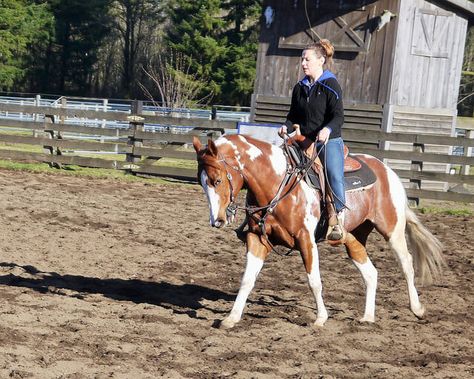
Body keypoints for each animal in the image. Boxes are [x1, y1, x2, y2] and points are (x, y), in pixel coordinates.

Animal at [192, 134, 444, 330]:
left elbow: (314, 281)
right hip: (353, 238)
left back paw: (417, 308)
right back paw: (367, 317)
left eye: (217, 180)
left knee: (406, 264)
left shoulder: (306, 240)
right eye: (202, 182)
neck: (276, 182)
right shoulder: (257, 240)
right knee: (371, 273)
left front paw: (321, 318)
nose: (217, 220)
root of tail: (386, 170)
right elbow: (247, 280)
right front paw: (231, 318)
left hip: (392, 230)